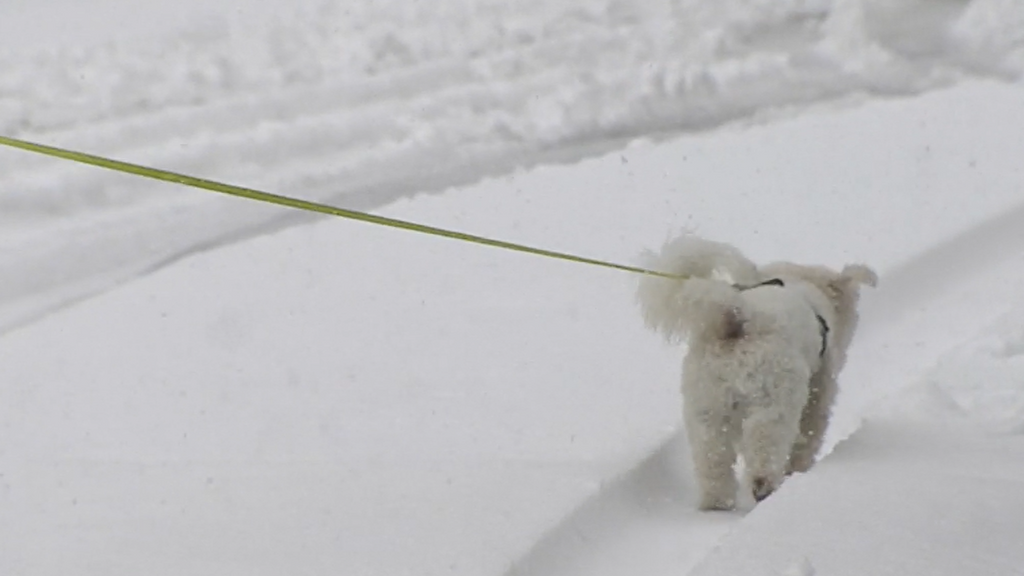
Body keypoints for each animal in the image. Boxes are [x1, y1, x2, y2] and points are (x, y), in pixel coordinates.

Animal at [634, 233, 876, 506]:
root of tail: (735, 319)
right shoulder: (818, 392)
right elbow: (809, 435)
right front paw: (799, 469)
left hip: (706, 408)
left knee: (712, 460)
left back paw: (717, 502)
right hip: (772, 399)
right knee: (765, 448)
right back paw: (763, 488)